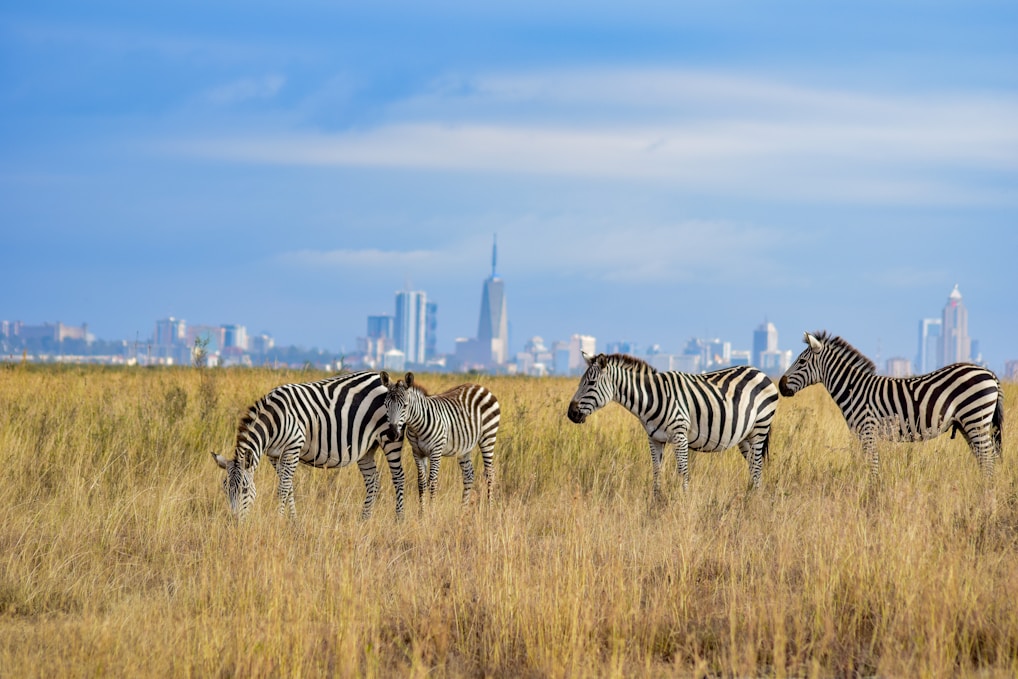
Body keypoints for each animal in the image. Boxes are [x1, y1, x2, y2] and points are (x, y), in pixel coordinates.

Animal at [211, 370, 406, 521]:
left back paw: (399, 520)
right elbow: (289, 488)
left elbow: (283, 488)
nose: (235, 521)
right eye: (225, 489)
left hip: (390, 438)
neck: (273, 420)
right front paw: (293, 521)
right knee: (373, 480)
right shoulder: (274, 455)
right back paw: (364, 519)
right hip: (366, 447)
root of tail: (379, 378)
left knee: (398, 477)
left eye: (244, 489)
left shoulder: (293, 447)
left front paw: (279, 520)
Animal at [380, 371, 500, 507]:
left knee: (490, 473)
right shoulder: (417, 452)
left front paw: (431, 511)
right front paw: (422, 512)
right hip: (464, 446)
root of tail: (480, 387)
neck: (417, 427)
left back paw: (489, 508)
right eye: (386, 405)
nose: (392, 434)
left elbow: (432, 482)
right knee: (468, 475)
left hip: (488, 436)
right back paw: (463, 509)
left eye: (405, 406)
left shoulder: (436, 451)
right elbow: (421, 483)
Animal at [566, 353, 780, 494]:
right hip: (745, 436)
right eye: (581, 381)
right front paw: (656, 502)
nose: (571, 414)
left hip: (760, 427)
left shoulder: (680, 435)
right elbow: (656, 471)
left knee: (757, 466)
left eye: (591, 383)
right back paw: (751, 496)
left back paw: (754, 500)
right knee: (753, 466)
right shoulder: (654, 438)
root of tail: (760, 372)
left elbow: (683, 472)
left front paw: (684, 502)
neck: (652, 398)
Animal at [778, 331, 1004, 476]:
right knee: (984, 457)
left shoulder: (867, 431)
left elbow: (873, 466)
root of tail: (990, 373)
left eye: (801, 362)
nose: (780, 385)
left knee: (988, 458)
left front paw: (872, 494)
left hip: (975, 418)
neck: (853, 389)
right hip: (968, 424)